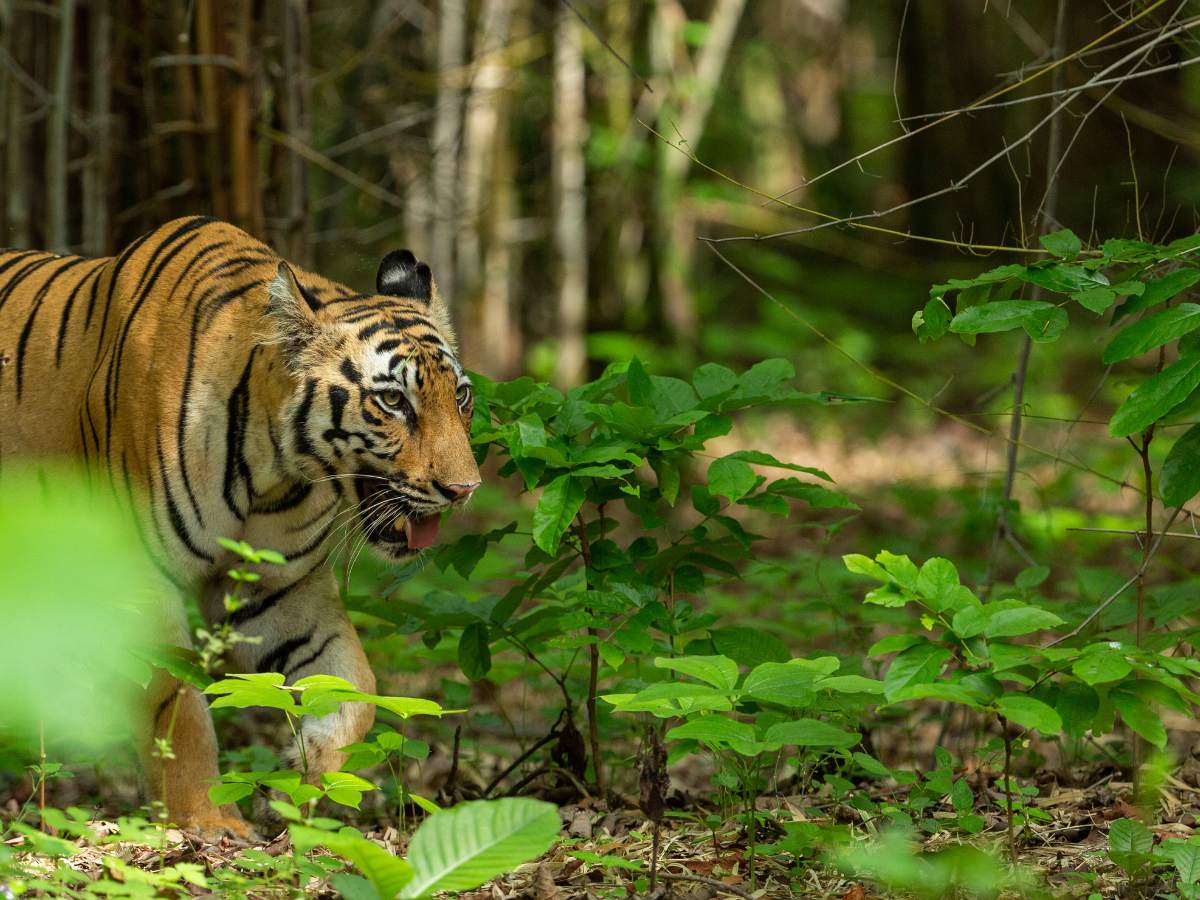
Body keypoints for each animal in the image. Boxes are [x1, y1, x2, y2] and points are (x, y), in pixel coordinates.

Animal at [0, 217, 480, 840]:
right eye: (394, 400)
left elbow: (357, 690)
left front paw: (296, 784)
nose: (465, 489)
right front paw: (208, 821)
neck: (276, 468)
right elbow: (175, 705)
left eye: (461, 395)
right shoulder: (140, 577)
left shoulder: (277, 591)